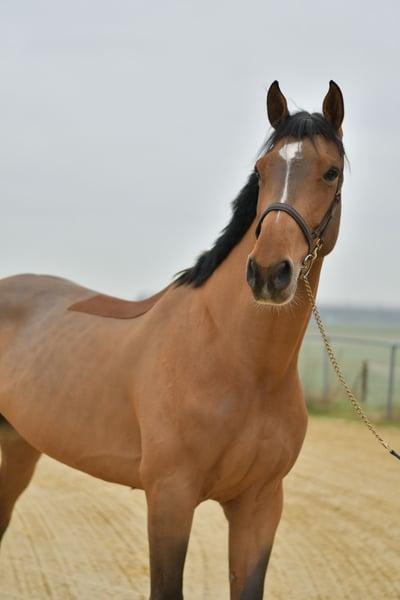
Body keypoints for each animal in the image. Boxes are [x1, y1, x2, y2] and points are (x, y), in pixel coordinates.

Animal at [0, 81, 345, 599]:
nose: (268, 272)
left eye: (330, 172)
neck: (242, 366)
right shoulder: (170, 499)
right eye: (261, 171)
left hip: (19, 448)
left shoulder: (260, 506)